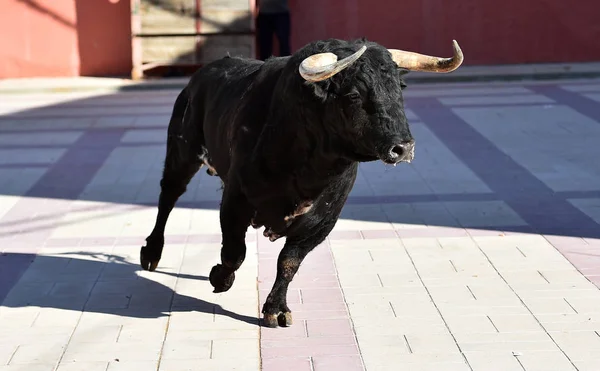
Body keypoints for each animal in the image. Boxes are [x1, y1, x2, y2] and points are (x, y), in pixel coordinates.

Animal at [141, 38, 464, 328]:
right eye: (354, 95)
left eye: (399, 89)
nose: (403, 148)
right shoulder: (236, 200)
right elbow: (234, 252)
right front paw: (219, 278)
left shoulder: (322, 220)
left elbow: (289, 262)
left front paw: (276, 309)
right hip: (183, 151)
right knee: (168, 196)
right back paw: (151, 253)